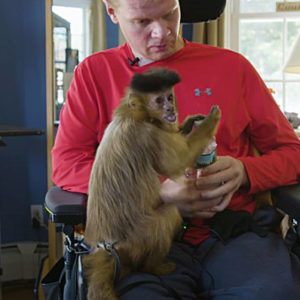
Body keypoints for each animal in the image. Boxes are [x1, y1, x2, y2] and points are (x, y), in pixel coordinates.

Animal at [83, 68, 221, 300]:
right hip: (139, 241)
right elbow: (179, 161)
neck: (135, 115)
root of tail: (110, 246)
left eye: (169, 97)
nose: (170, 108)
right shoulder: (147, 134)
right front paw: (210, 121)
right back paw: (154, 267)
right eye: (158, 100)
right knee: (170, 213)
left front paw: (189, 123)